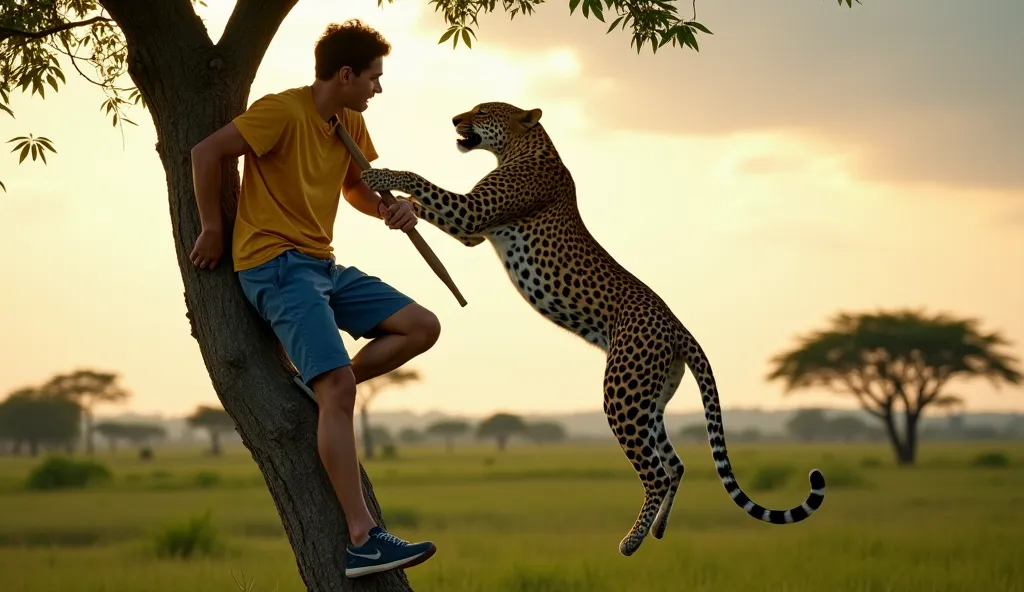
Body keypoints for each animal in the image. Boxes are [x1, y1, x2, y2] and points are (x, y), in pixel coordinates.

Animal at [364, 100, 827, 553]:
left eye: (481, 111)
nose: (455, 119)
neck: (520, 145)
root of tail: (678, 327)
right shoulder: (473, 229)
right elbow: (427, 204)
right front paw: (396, 207)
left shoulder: (471, 214)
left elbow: (422, 181)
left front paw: (381, 175)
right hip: (649, 398)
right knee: (675, 463)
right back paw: (658, 530)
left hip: (622, 393)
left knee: (657, 473)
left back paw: (631, 541)